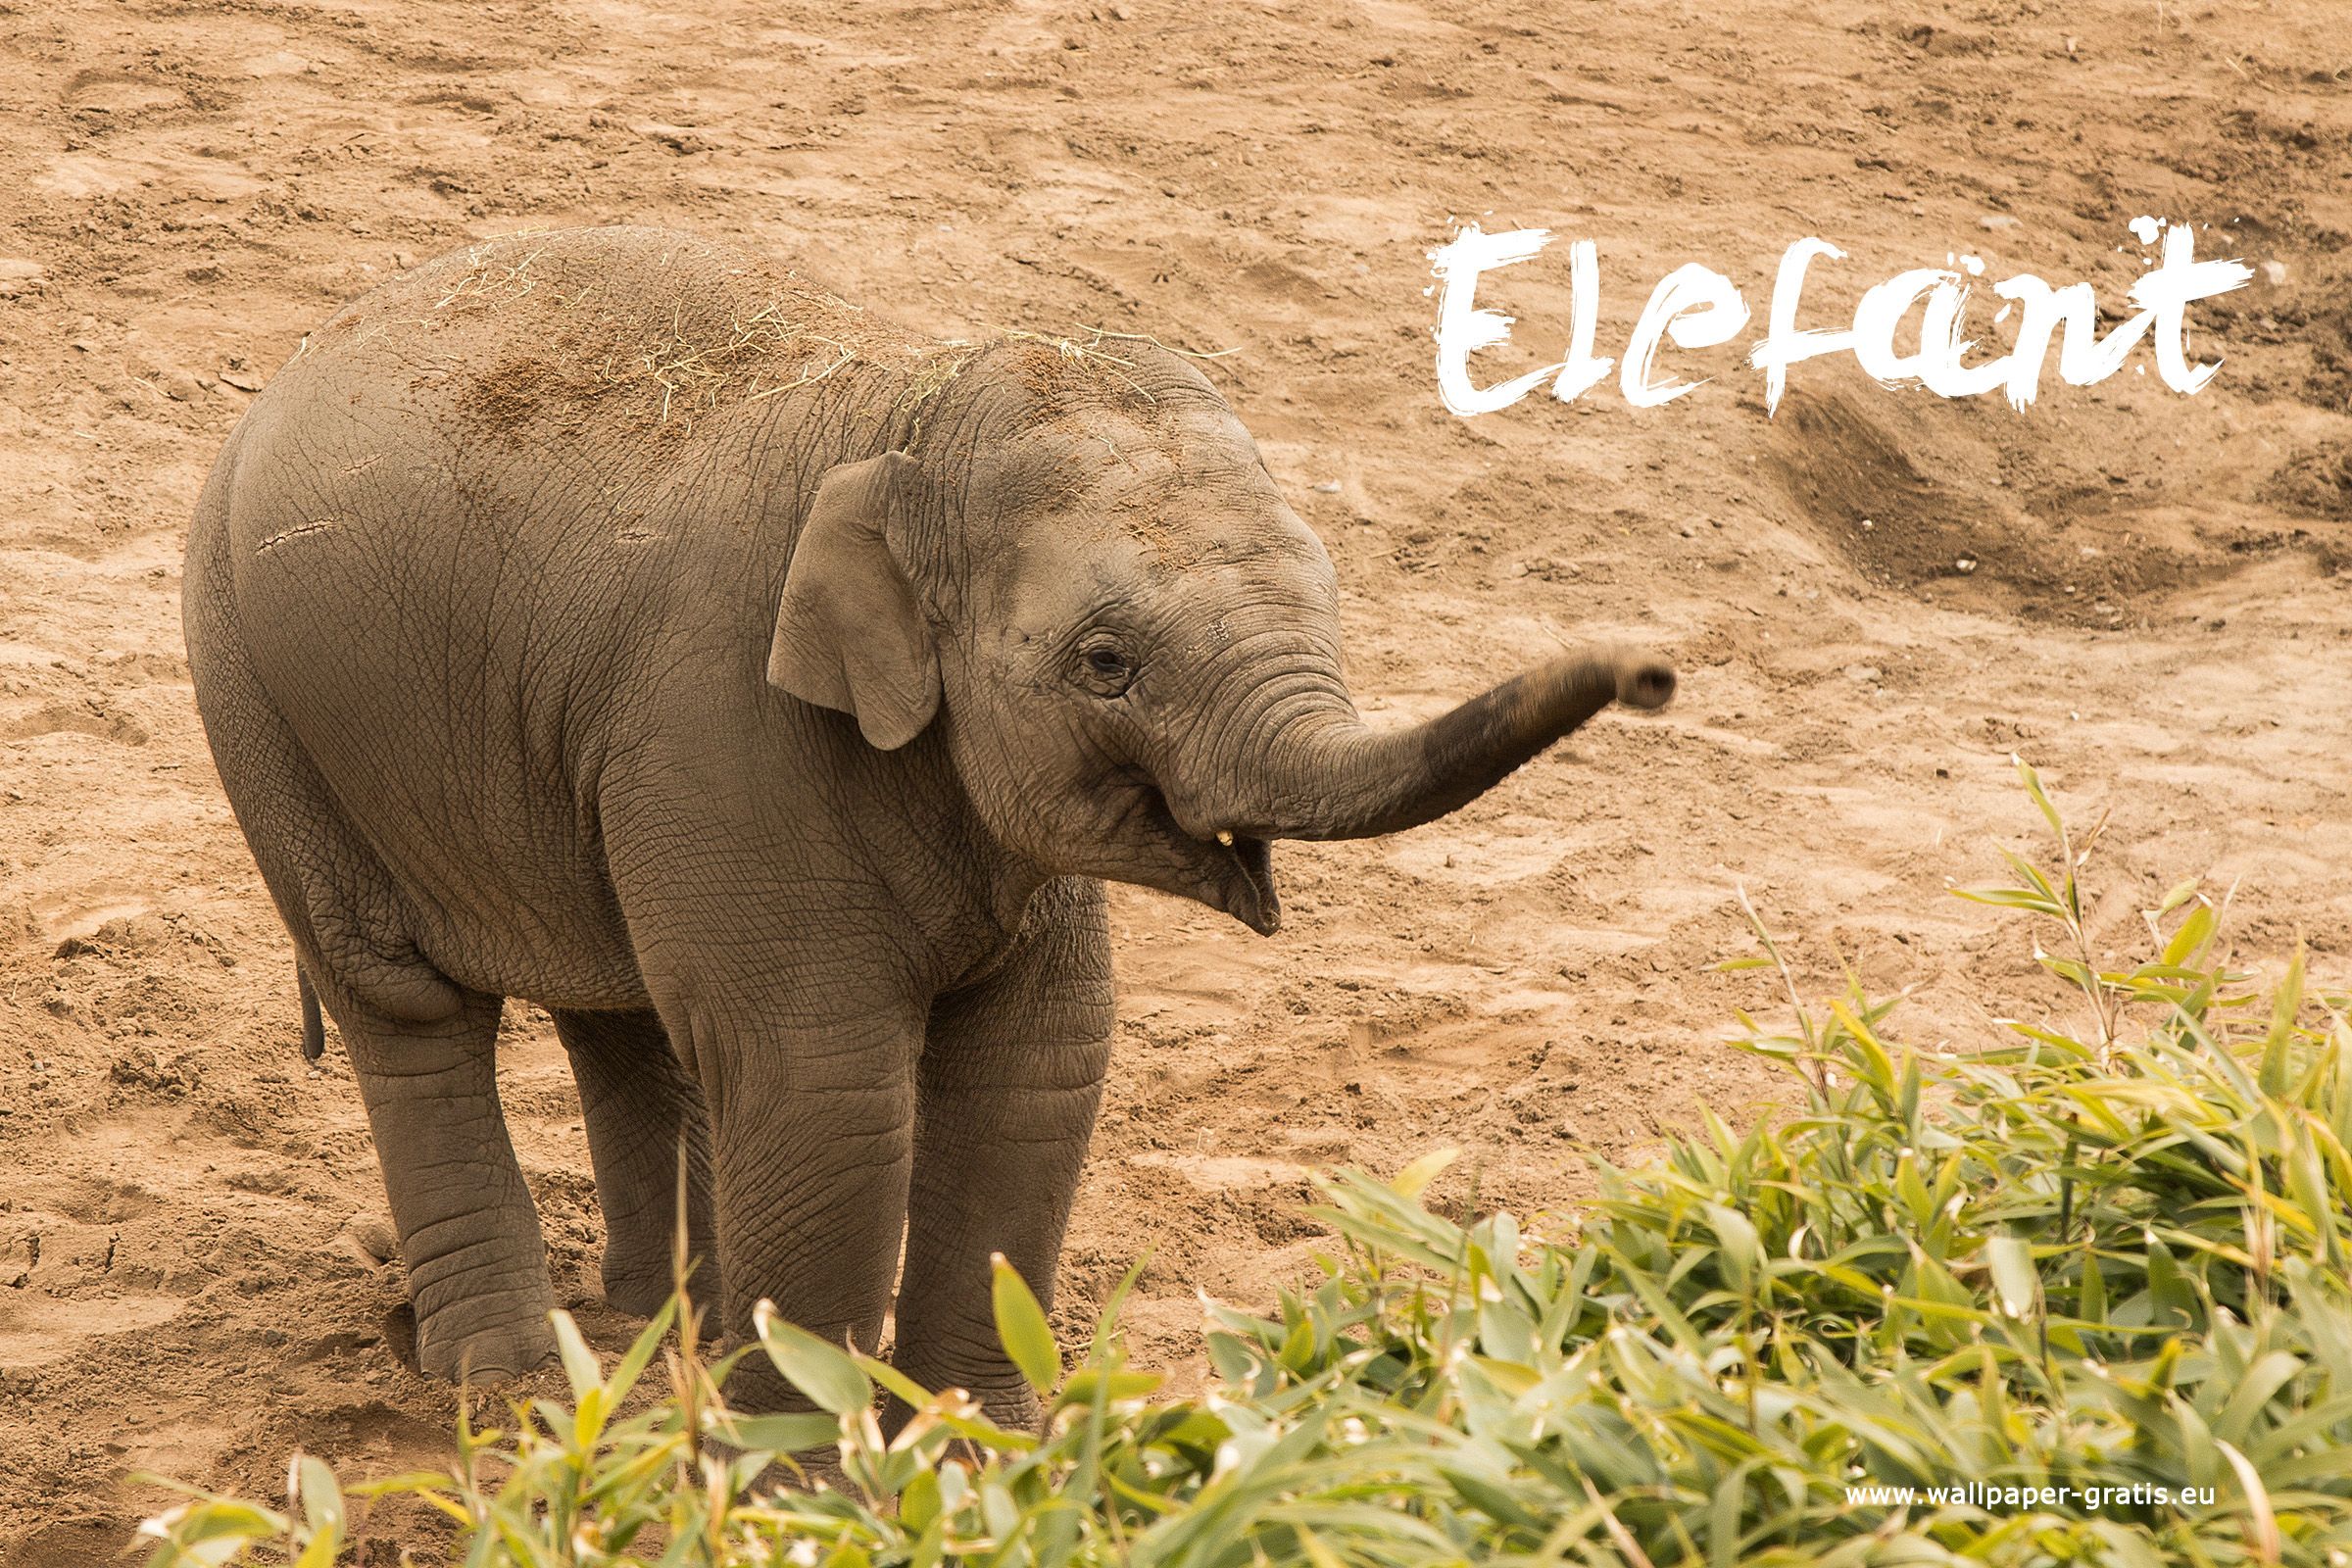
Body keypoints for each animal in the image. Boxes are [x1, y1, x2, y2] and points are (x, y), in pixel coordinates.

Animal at [181, 226, 1675, 1421]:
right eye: (1107, 663)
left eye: (1329, 588)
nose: (1656, 672)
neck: (907, 408)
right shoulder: (726, 721)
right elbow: (824, 1080)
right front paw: (807, 1469)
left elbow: (1039, 1064)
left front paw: (987, 1446)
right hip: (257, 692)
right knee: (408, 1008)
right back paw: (509, 1381)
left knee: (627, 1017)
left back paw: (667, 1323)